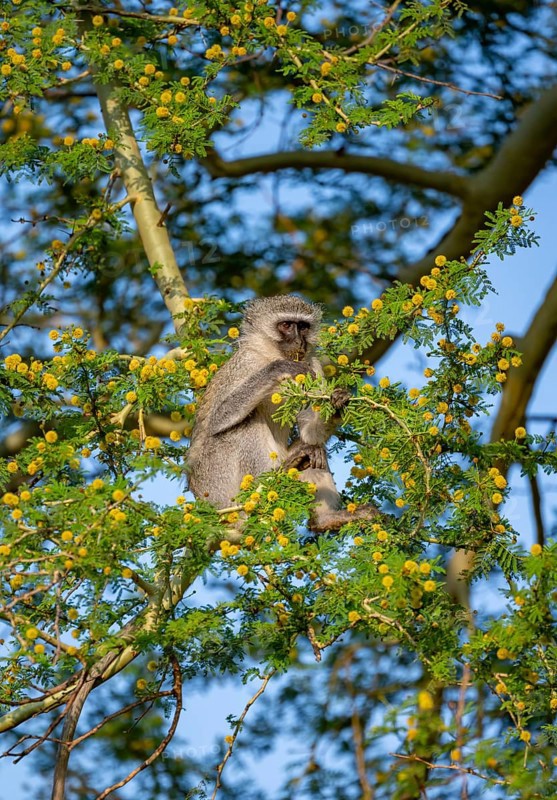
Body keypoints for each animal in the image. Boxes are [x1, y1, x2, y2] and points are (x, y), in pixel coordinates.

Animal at [186, 294, 379, 532]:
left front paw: (337, 404)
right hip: (218, 487)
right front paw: (279, 368)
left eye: (303, 327)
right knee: (243, 425)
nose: (300, 342)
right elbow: (218, 418)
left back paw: (324, 518)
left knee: (313, 448)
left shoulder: (312, 367)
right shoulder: (246, 363)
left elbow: (309, 432)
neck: (270, 354)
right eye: (286, 325)